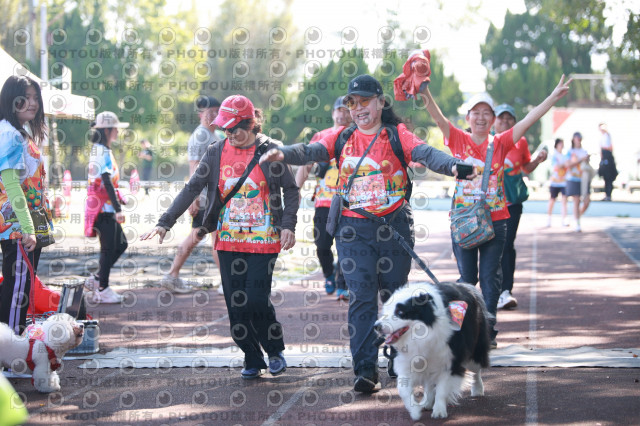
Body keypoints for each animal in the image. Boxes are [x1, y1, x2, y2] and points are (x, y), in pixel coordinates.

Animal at [374, 282, 492, 420]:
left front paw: (439, 411)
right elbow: (403, 389)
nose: (376, 326)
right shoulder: (408, 360)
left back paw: (478, 389)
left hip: (475, 348)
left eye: (400, 312)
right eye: (385, 311)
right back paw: (427, 403)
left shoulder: (450, 360)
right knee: (429, 383)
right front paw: (415, 411)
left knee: (476, 369)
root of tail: (466, 286)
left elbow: (442, 389)